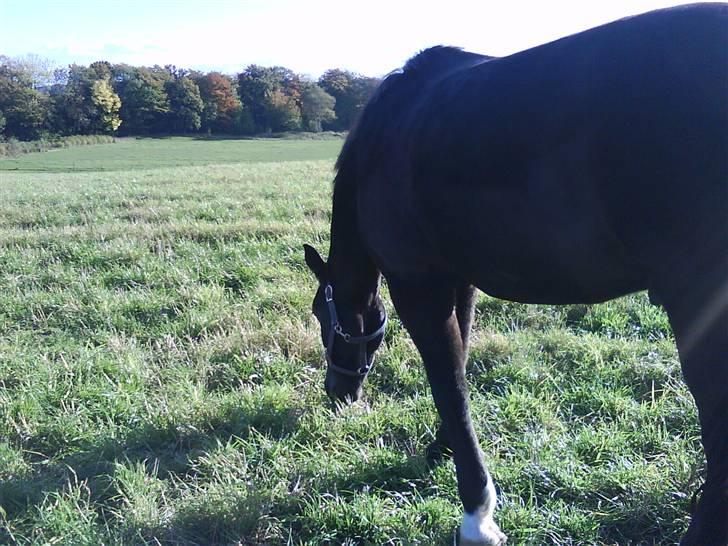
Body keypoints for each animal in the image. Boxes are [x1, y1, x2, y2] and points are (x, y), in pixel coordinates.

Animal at [303, 4, 727, 545]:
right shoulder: (458, 281)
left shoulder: (417, 285)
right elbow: (460, 365)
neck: (384, 138)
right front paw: (441, 449)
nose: (338, 391)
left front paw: (477, 515)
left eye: (321, 315)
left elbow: (448, 384)